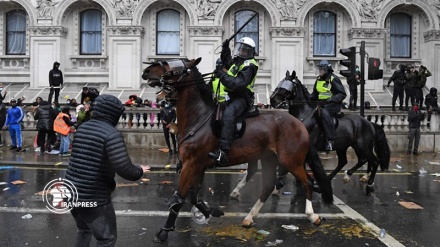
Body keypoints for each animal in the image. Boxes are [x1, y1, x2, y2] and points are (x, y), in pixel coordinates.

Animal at [143, 58, 332, 243]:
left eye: (174, 68)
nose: (146, 71)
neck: (199, 117)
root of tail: (300, 124)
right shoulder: (198, 165)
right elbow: (194, 196)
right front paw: (211, 211)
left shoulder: (191, 164)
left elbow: (179, 198)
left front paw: (164, 231)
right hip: (269, 159)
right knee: (269, 186)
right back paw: (249, 217)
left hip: (291, 161)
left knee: (307, 183)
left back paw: (313, 216)